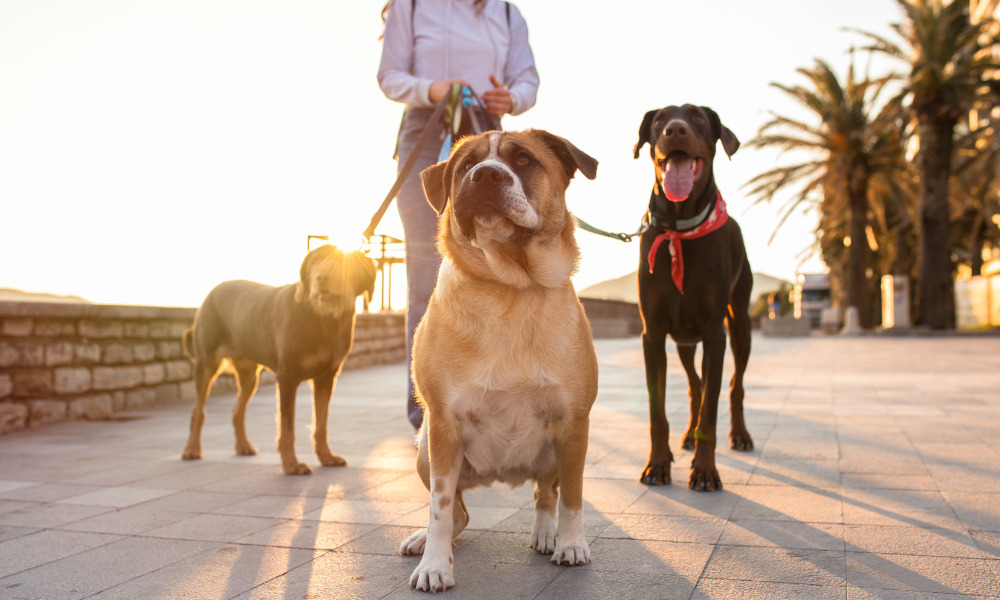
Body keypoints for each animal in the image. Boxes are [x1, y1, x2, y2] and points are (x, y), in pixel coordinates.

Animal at [180, 246, 376, 476]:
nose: (322, 277)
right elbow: (287, 427)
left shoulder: (326, 378)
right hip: (206, 364)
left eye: (345, 263)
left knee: (238, 410)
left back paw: (243, 445)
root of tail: (212, 292)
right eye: (316, 260)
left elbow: (321, 424)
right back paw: (192, 448)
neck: (321, 318)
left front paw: (326, 457)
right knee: (198, 410)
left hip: (249, 375)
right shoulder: (287, 378)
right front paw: (291, 464)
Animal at [400, 129, 600, 592]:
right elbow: (439, 507)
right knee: (458, 513)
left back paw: (546, 534)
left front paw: (571, 544)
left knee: (545, 493)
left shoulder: (573, 424)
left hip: (551, 450)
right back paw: (424, 541)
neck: (511, 288)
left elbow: (573, 496)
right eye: (465, 166)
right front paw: (435, 565)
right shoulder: (443, 426)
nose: (486, 175)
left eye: (524, 160)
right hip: (424, 451)